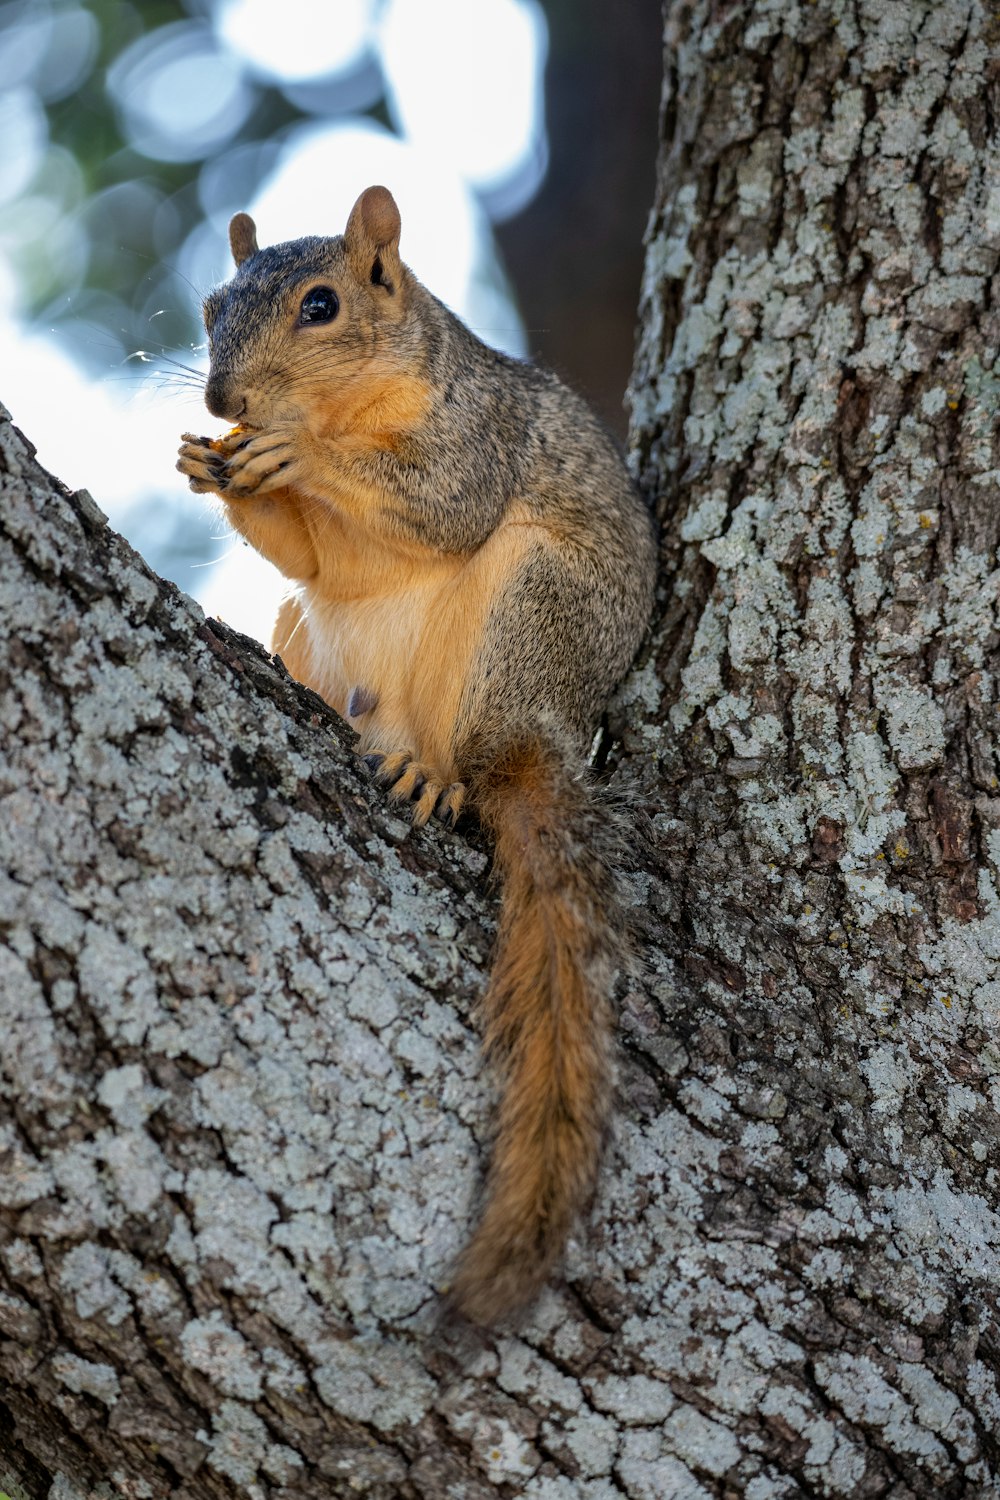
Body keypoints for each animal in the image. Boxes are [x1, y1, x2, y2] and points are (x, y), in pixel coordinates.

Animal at [176, 187, 659, 1326]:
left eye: (321, 304)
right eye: (211, 305)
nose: (224, 398)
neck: (344, 410)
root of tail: (541, 736)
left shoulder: (476, 432)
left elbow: (441, 502)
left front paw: (296, 458)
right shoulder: (314, 552)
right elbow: (313, 557)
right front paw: (210, 465)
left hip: (526, 615)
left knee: (480, 766)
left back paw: (437, 773)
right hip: (314, 643)